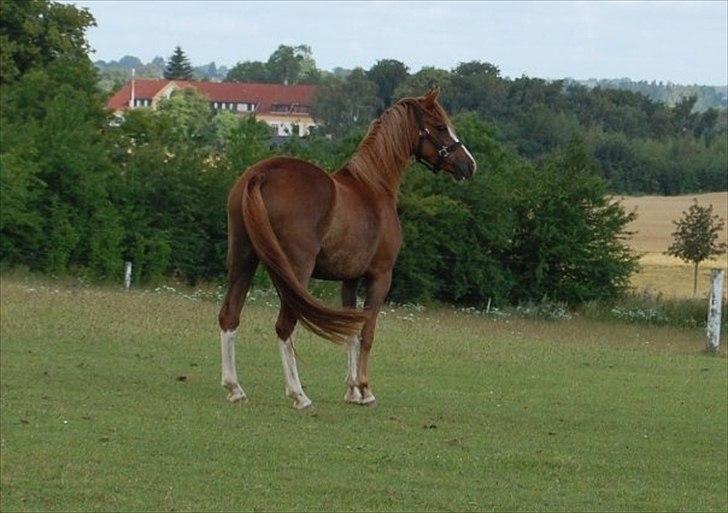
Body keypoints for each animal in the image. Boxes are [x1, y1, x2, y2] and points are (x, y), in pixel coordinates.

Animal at [217, 87, 476, 409]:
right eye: (440, 126)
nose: (470, 165)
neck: (374, 186)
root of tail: (262, 174)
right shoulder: (380, 277)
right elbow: (366, 332)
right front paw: (365, 389)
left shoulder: (349, 280)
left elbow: (351, 332)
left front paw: (352, 390)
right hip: (296, 272)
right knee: (285, 326)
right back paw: (298, 394)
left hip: (243, 260)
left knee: (230, 316)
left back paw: (235, 388)